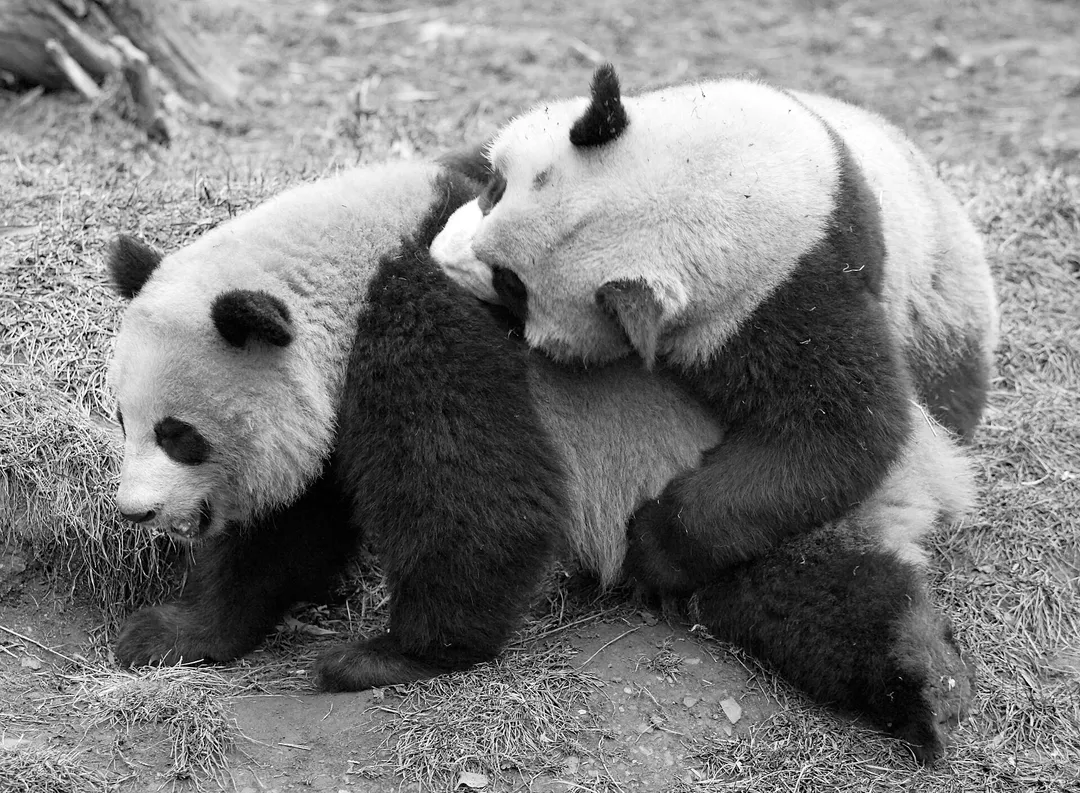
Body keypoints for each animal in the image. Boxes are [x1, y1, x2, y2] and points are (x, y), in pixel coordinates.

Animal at [108, 157, 975, 765]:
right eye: (123, 417)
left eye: (180, 434)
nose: (136, 511)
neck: (341, 261)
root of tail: (934, 466)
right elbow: (286, 532)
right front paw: (172, 632)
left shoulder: (422, 323)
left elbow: (478, 500)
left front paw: (387, 655)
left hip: (743, 491)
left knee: (808, 581)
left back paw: (926, 675)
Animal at [430, 64, 998, 601]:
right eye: (496, 190)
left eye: (513, 286)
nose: (440, 255)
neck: (724, 180)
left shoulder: (785, 294)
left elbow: (843, 427)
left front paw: (649, 547)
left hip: (940, 315)